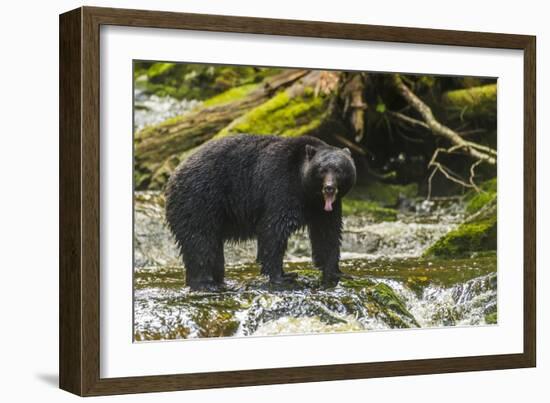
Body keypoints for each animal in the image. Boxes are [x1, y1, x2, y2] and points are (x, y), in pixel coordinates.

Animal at [165, 136, 358, 290]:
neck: (307, 191)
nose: (329, 187)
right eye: (322, 170)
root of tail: (173, 176)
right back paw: (206, 283)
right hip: (199, 201)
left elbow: (328, 234)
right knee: (200, 241)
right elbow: (274, 229)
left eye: (339, 169)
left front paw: (336, 272)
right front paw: (282, 276)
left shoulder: (324, 209)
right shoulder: (281, 186)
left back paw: (218, 281)